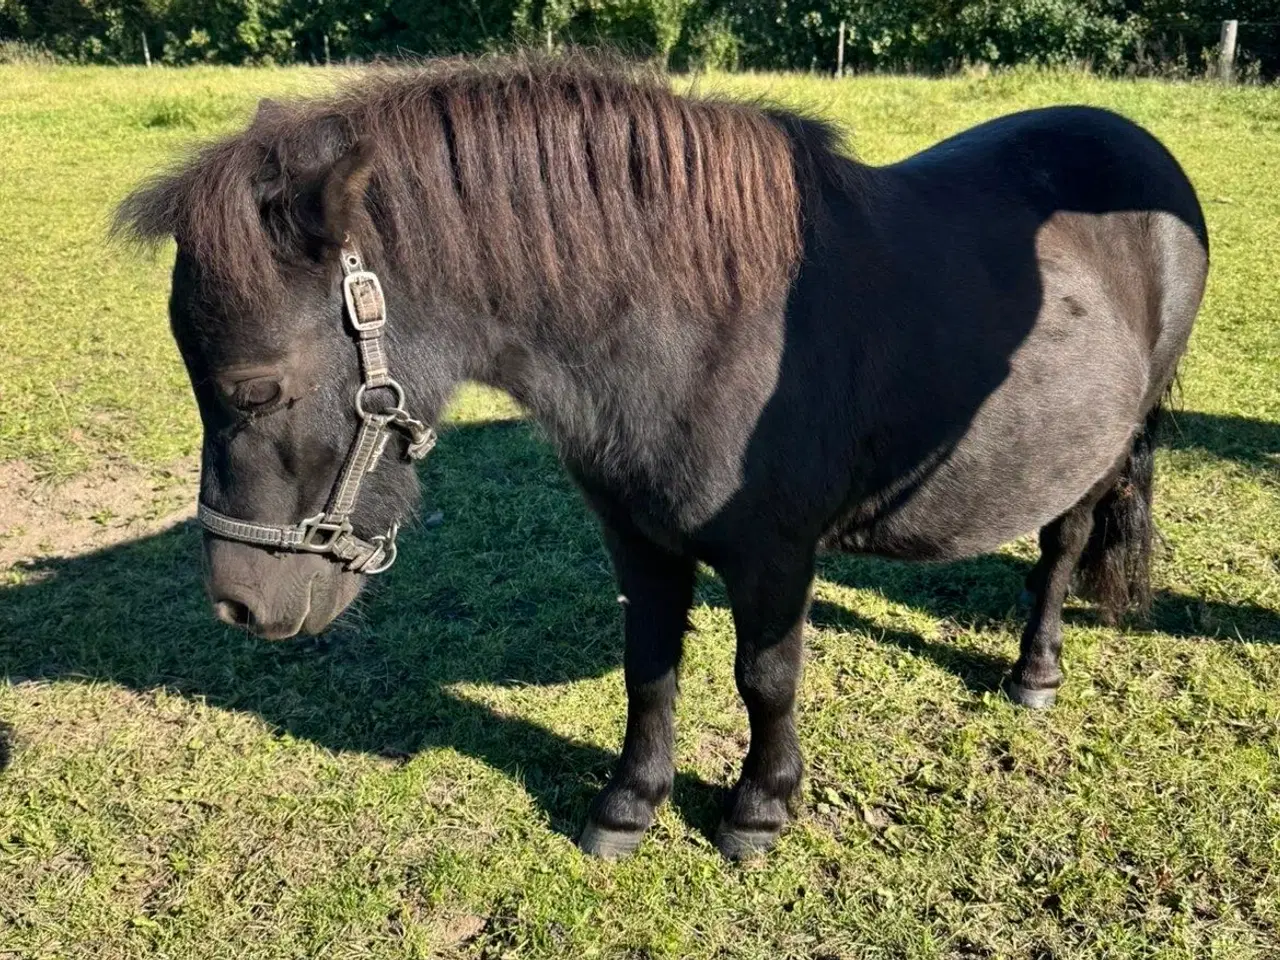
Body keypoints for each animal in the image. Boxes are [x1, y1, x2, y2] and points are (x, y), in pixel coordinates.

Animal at [116, 54, 1209, 860]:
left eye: (254, 389)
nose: (237, 605)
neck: (698, 330)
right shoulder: (637, 539)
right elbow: (650, 666)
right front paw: (627, 806)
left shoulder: (774, 556)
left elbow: (765, 677)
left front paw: (758, 810)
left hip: (1105, 447)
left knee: (1062, 546)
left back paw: (1035, 671)